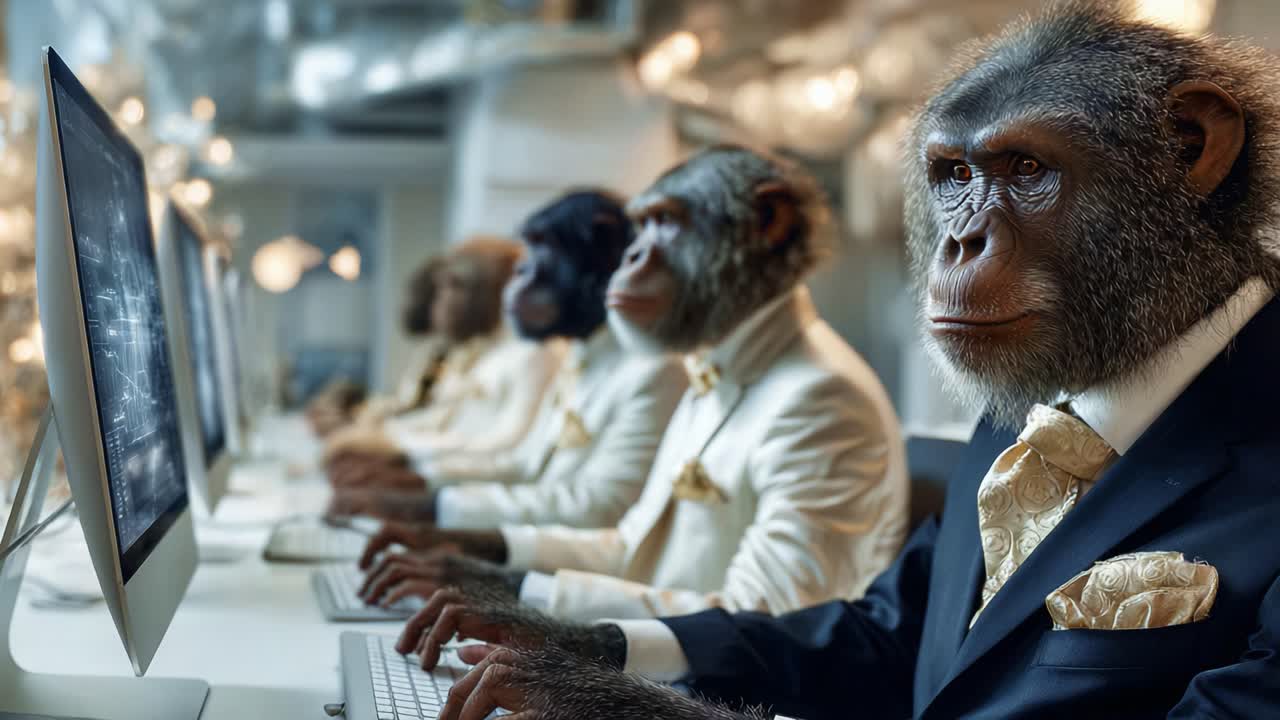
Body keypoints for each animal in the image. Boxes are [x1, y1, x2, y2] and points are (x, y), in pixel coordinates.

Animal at [376, 4, 1280, 719]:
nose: (961, 240)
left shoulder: (815, 432)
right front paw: (497, 605)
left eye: (1028, 167)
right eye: (955, 173)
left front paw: (559, 687)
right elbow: (843, 627)